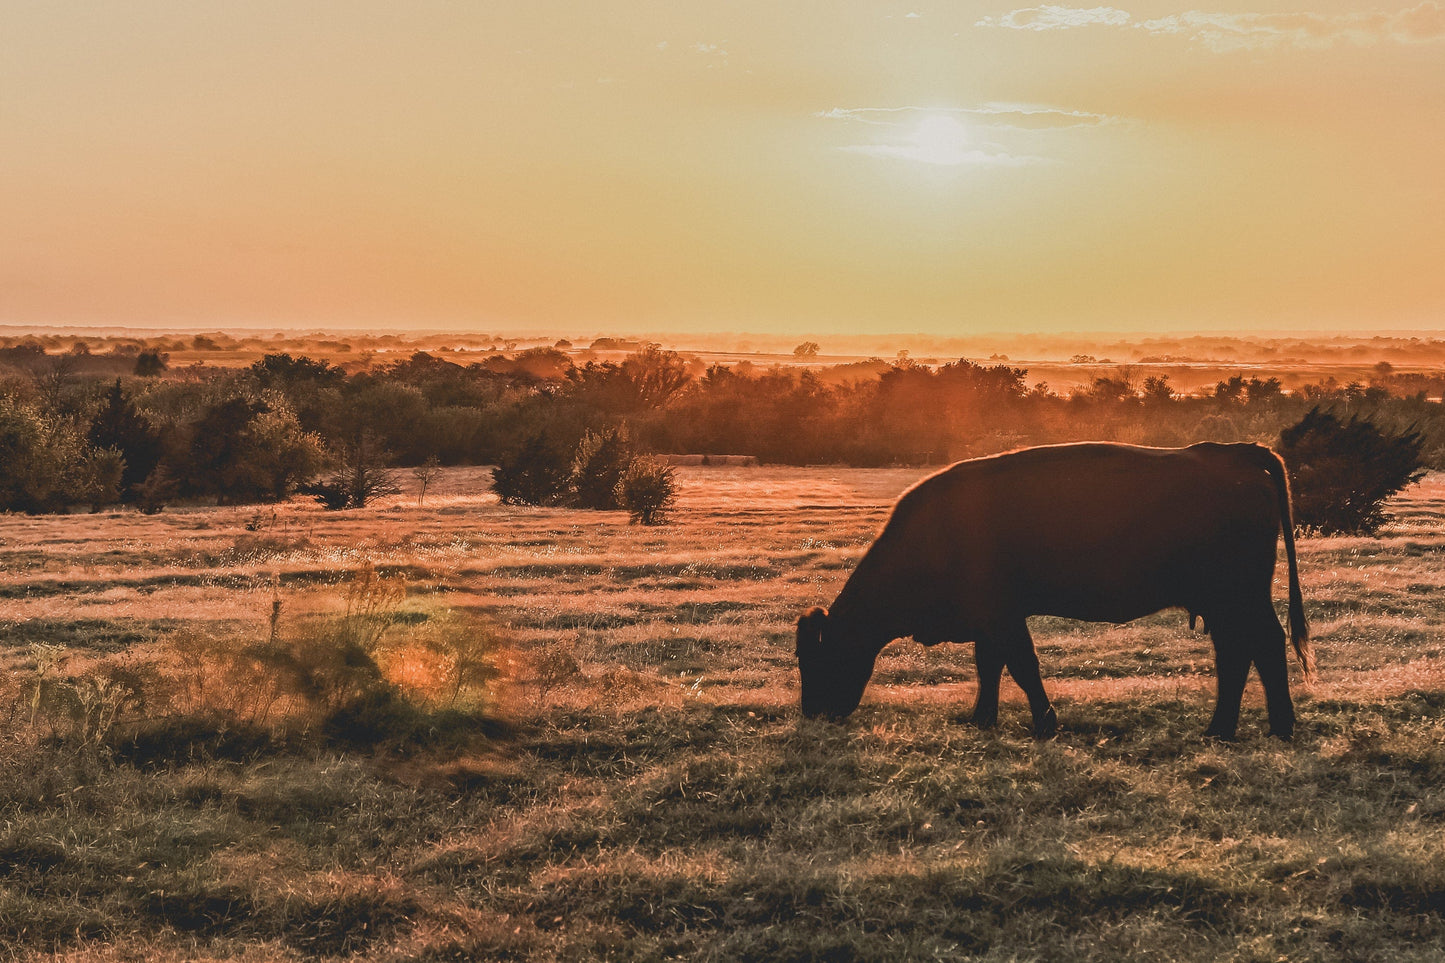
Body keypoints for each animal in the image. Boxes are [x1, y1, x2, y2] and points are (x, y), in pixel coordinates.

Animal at [797, 439, 1317, 737]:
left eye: (818, 657)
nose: (811, 714)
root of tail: (1235, 452)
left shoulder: (1002, 615)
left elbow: (1022, 667)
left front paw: (1046, 724)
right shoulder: (989, 618)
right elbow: (990, 667)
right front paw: (982, 720)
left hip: (1238, 596)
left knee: (1263, 645)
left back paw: (1273, 728)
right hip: (1225, 602)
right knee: (1239, 652)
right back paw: (1225, 729)